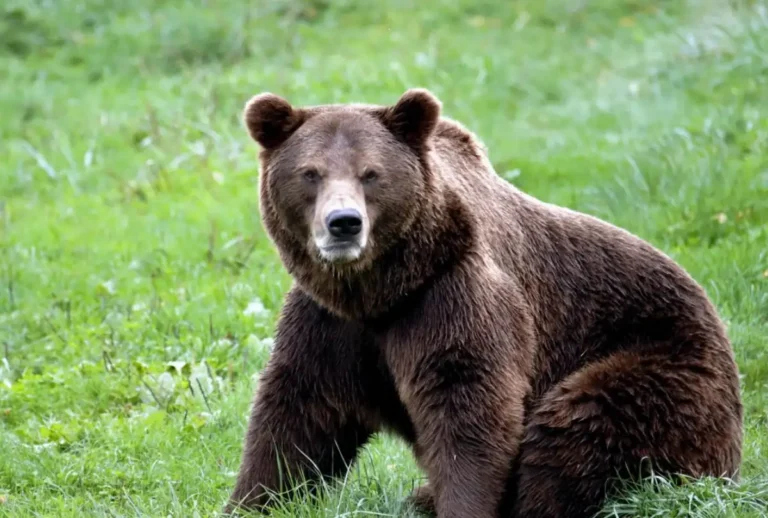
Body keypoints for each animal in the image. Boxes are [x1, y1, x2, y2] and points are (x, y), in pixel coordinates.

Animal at [225, 88, 743, 518]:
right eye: (310, 173)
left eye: (371, 174)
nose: (344, 223)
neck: (379, 291)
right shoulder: (332, 324)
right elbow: (297, 414)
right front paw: (251, 501)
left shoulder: (451, 295)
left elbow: (469, 404)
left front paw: (463, 504)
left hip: (663, 365)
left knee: (579, 426)